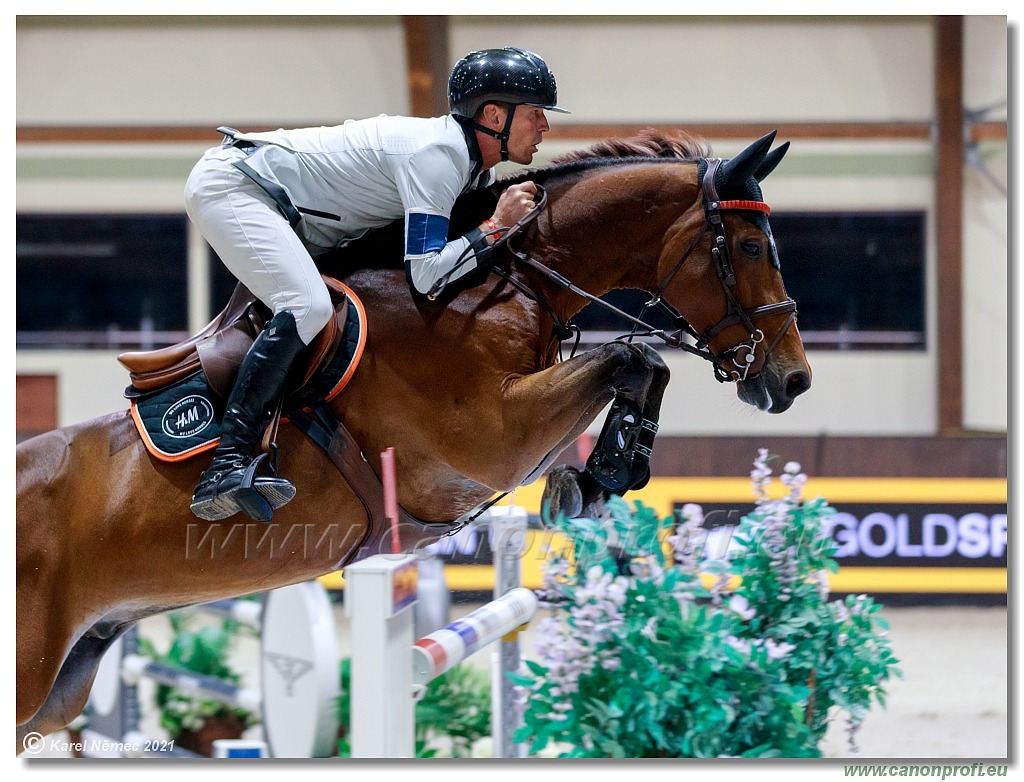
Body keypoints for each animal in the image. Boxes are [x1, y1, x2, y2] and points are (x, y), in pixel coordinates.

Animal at [14, 128, 806, 753]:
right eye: (748, 245)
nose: (792, 379)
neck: (501, 284)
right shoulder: (492, 436)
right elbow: (632, 356)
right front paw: (605, 470)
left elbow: (640, 365)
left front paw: (596, 479)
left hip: (60, 687)